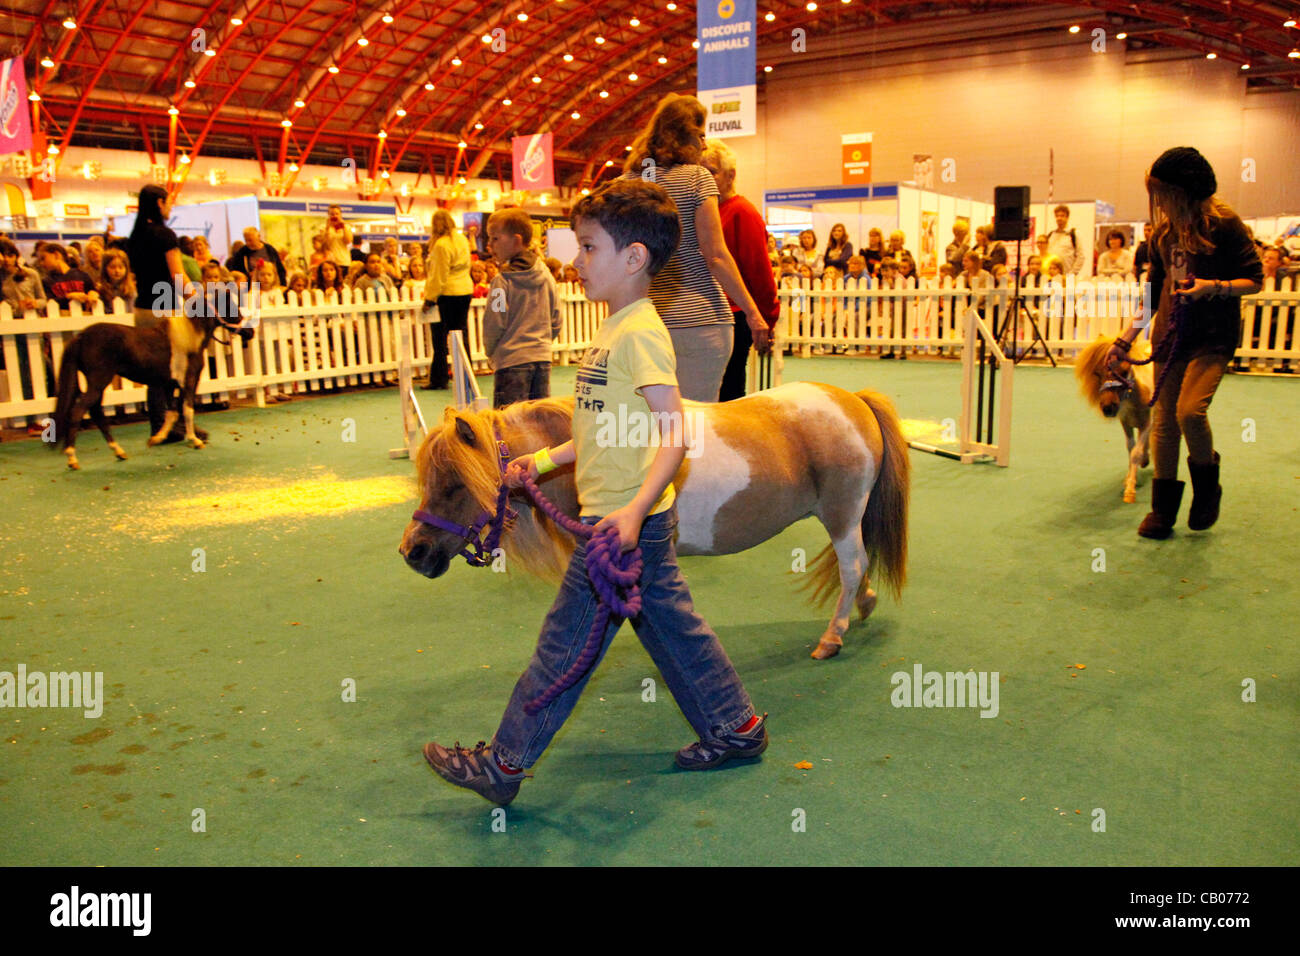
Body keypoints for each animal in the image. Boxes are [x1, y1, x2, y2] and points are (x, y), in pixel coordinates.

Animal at [400, 382, 909, 658]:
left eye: (455, 484)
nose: (412, 551)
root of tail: (854, 401)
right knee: (858, 569)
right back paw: (863, 606)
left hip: (843, 515)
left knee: (851, 567)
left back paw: (832, 637)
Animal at [1071, 335, 1154, 504]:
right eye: (1096, 373)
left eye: (1124, 371)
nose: (1108, 408)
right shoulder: (1126, 424)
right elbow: (1131, 448)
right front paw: (1129, 479)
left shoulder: (1147, 423)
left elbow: (1136, 453)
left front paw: (1130, 492)